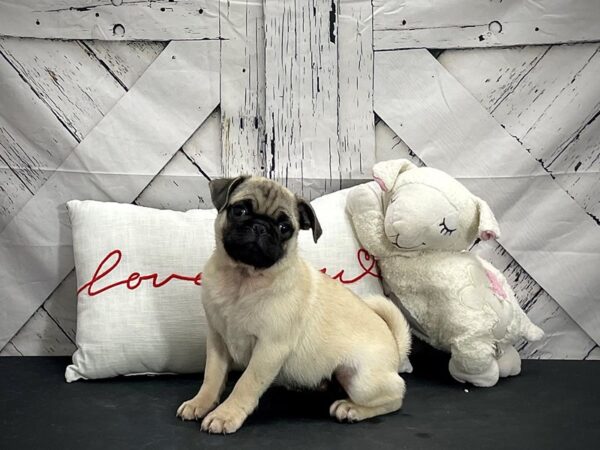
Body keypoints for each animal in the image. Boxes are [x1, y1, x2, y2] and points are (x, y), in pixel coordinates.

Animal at [177, 176, 412, 432]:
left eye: (284, 228)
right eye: (239, 211)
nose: (260, 226)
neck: (242, 281)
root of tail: (395, 345)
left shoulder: (269, 348)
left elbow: (245, 383)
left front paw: (225, 414)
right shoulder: (217, 340)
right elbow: (212, 376)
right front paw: (201, 402)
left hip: (361, 380)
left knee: (396, 396)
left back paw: (351, 409)